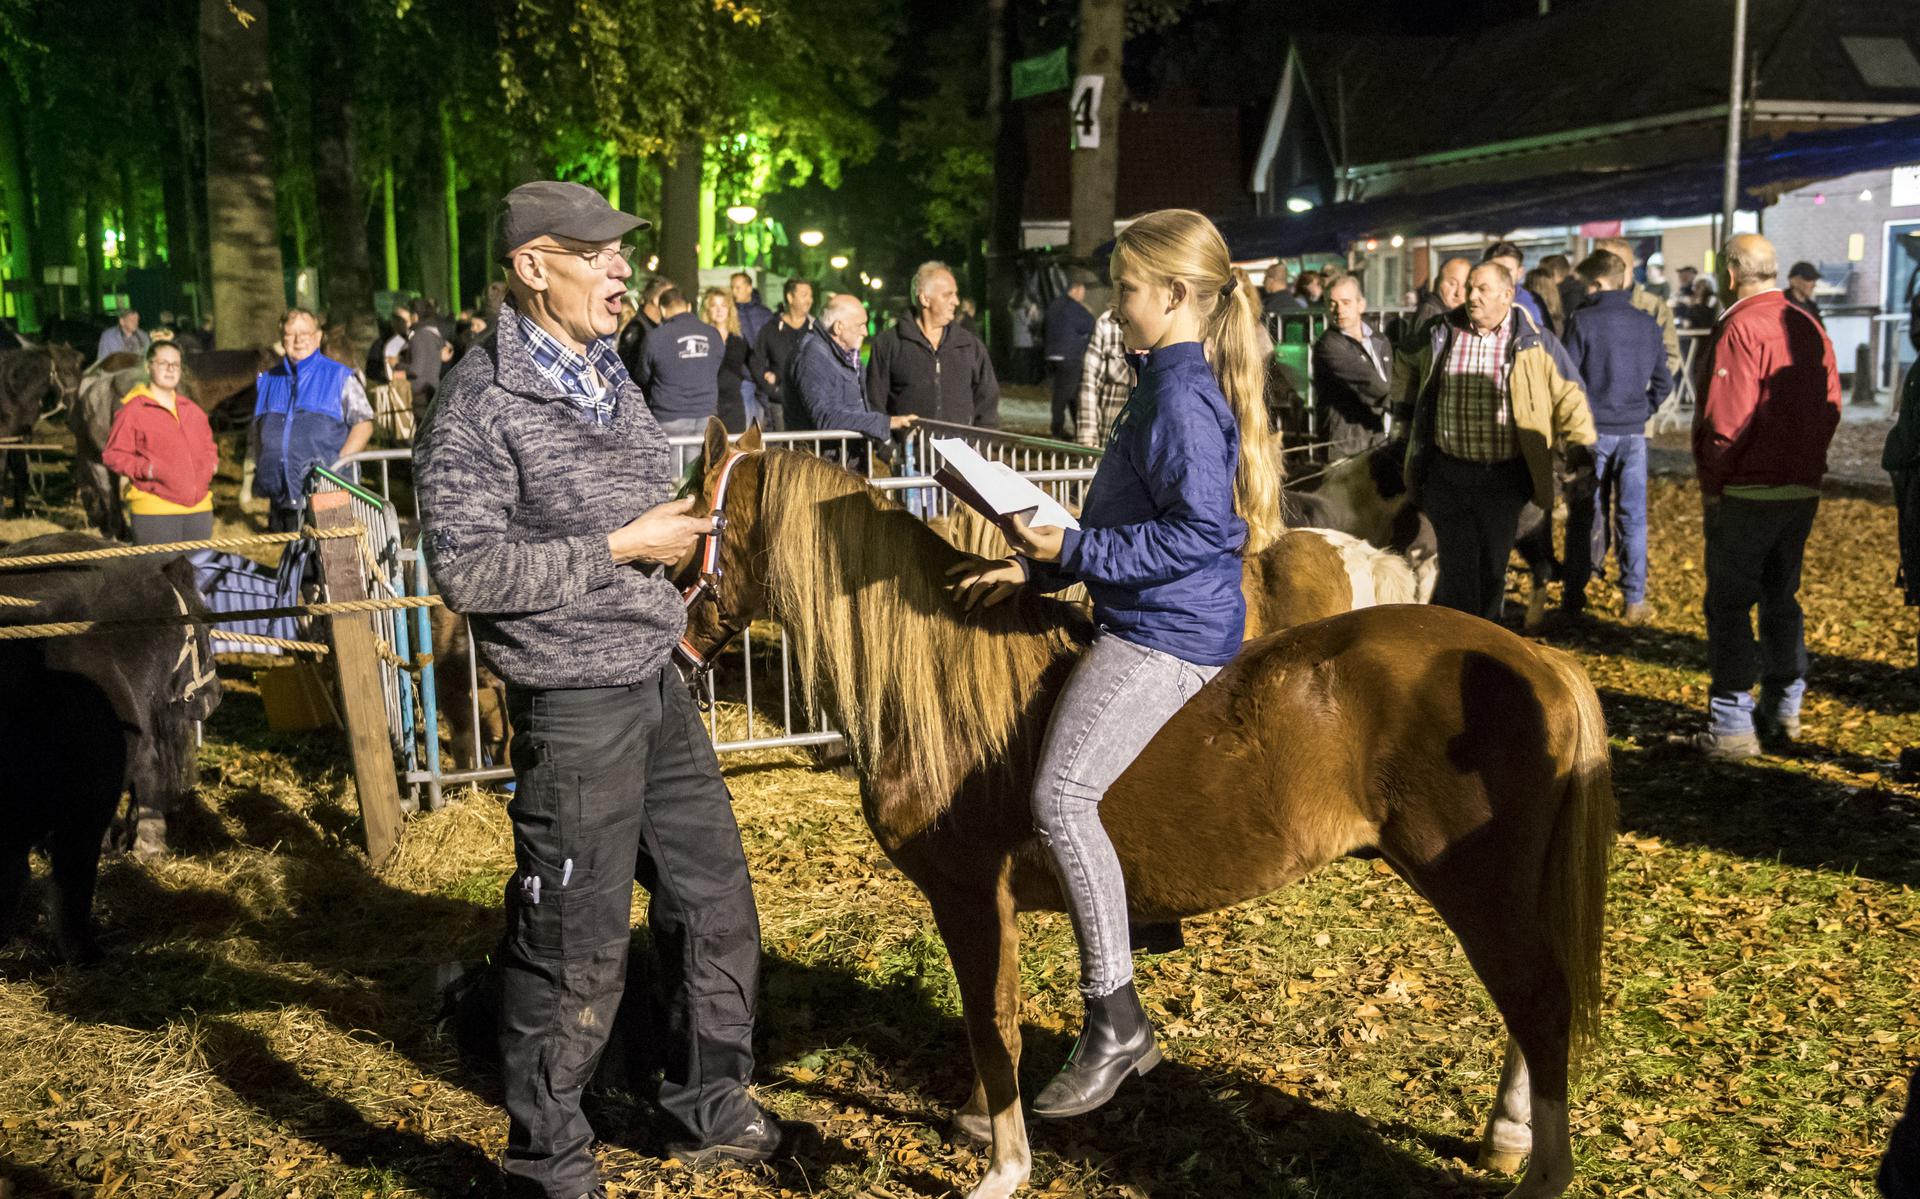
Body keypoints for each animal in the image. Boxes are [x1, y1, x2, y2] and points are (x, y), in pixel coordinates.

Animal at [683, 424, 1612, 1199]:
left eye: (693, 518)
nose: (678, 645)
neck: (945, 687)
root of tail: (1535, 659)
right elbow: (995, 1020)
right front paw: (987, 1124)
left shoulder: (969, 896)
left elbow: (992, 1024)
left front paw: (1005, 1168)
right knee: (1529, 1009)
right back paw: (1508, 1135)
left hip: (1478, 887)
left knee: (1539, 1005)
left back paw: (1541, 1170)